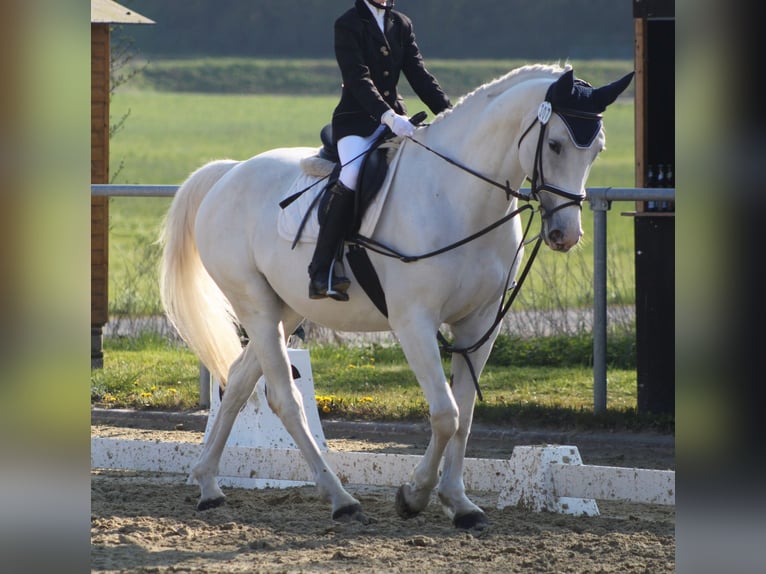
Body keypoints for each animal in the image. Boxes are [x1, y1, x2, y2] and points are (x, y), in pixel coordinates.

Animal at [159, 64, 633, 530]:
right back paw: (341, 500)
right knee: (285, 400)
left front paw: (459, 503)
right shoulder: (414, 322)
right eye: (554, 144)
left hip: (286, 309)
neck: (457, 196)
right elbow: (445, 414)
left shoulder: (479, 324)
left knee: (240, 381)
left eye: (597, 150)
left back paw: (209, 485)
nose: (565, 235)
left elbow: (464, 416)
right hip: (255, 304)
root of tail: (229, 172)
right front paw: (414, 495)